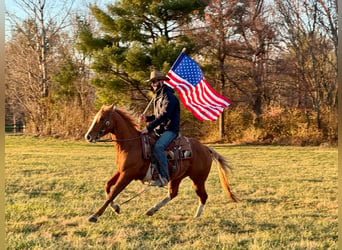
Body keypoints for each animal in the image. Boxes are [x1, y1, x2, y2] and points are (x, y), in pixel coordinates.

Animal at [85, 103, 238, 223]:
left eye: (102, 118)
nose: (88, 136)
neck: (131, 144)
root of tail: (206, 148)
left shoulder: (128, 174)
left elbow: (113, 192)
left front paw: (95, 215)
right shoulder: (121, 171)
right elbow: (108, 187)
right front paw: (116, 208)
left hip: (198, 179)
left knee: (203, 196)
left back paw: (195, 217)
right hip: (177, 177)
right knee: (173, 193)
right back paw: (152, 210)